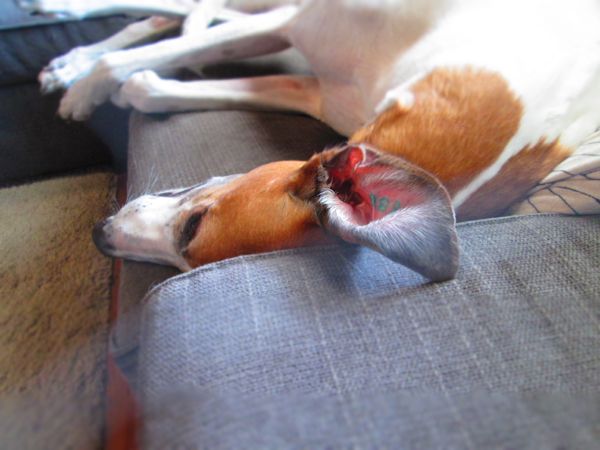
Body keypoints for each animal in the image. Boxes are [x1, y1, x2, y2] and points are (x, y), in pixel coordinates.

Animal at [24, 0, 600, 282]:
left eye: (191, 232)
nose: (100, 233)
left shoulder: (312, 90)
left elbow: (146, 87)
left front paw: (116, 80)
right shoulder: (297, 23)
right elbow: (138, 64)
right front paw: (88, 85)